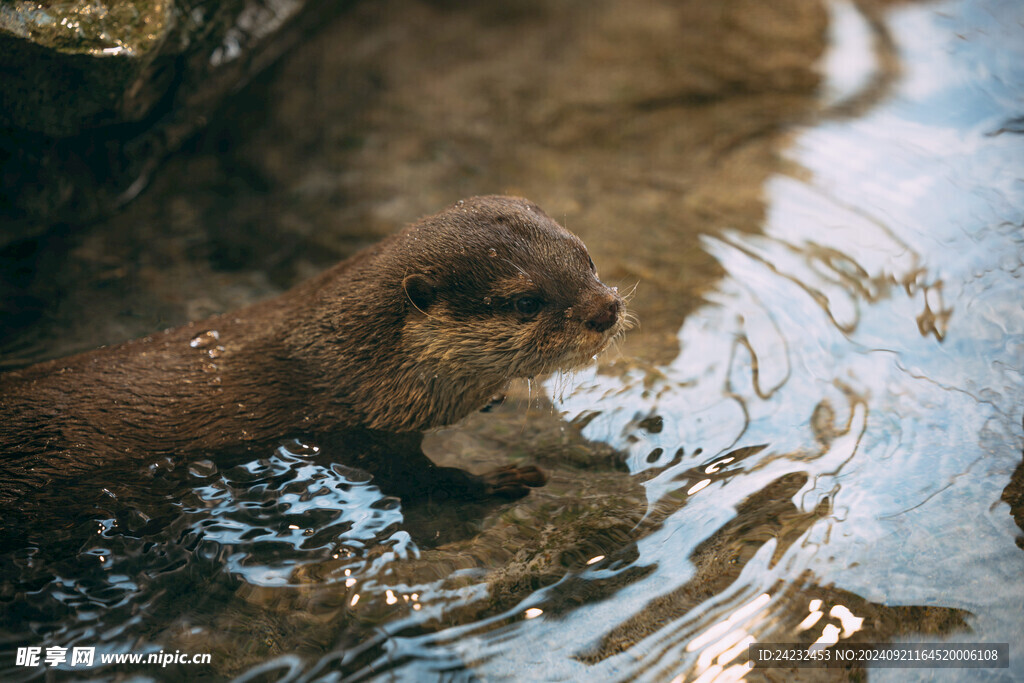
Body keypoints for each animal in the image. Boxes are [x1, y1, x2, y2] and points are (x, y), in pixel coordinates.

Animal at [0, 197, 626, 507]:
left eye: (586, 257)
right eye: (526, 302)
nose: (606, 309)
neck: (354, 365)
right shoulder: (358, 430)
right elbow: (419, 482)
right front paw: (498, 480)